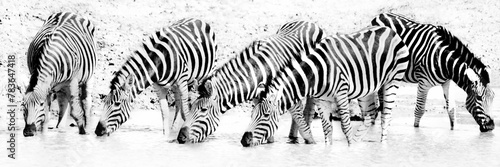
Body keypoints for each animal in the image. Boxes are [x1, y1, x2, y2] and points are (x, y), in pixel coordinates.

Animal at [178, 20, 326, 144]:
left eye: (203, 110)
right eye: (191, 107)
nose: (180, 138)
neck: (260, 70)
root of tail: (308, 22)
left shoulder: (285, 90)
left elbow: (300, 121)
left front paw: (311, 142)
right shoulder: (258, 96)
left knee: (308, 110)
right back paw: (292, 137)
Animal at [241, 25, 410, 147]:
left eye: (266, 115)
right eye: (252, 114)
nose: (244, 141)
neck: (317, 72)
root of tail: (389, 30)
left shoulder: (341, 93)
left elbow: (345, 127)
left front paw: (350, 149)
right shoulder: (322, 100)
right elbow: (327, 130)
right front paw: (330, 151)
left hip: (392, 81)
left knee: (385, 117)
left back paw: (382, 146)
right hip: (367, 88)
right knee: (370, 115)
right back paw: (358, 142)